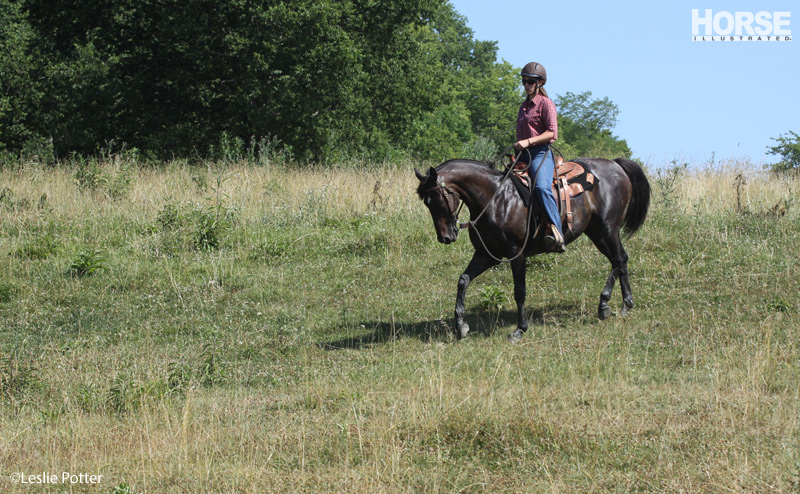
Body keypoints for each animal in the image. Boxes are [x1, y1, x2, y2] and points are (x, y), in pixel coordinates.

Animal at [416, 156, 652, 342]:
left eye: (438, 198)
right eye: (426, 203)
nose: (445, 237)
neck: (495, 198)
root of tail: (615, 164)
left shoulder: (517, 254)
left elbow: (519, 291)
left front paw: (520, 330)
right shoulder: (487, 255)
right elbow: (463, 280)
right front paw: (460, 325)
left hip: (607, 229)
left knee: (619, 260)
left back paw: (604, 305)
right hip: (597, 232)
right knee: (620, 260)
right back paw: (626, 304)